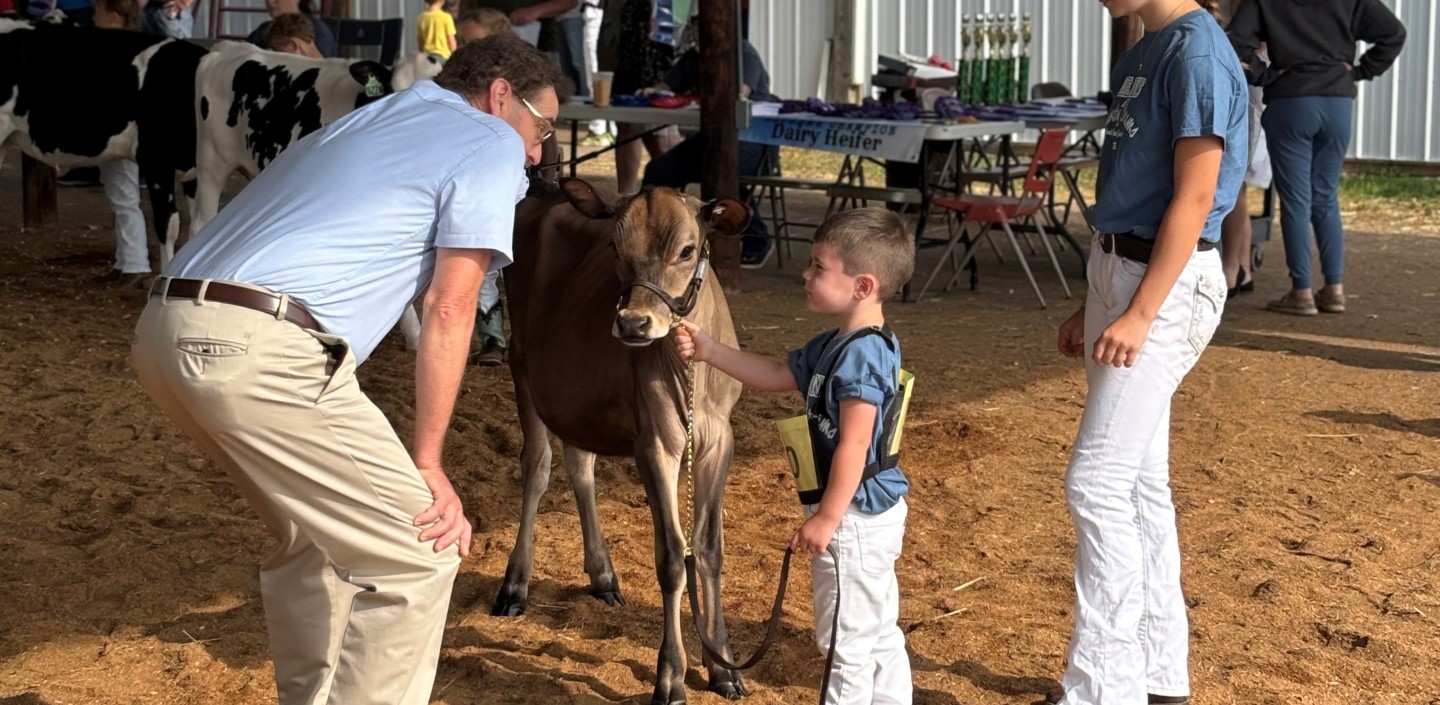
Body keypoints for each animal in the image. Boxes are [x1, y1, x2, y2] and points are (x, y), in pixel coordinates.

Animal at [494, 177, 753, 705]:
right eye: (615, 246)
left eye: (687, 250)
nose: (633, 323)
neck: (690, 373)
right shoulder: (654, 443)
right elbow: (673, 557)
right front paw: (671, 676)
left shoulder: (720, 441)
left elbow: (710, 549)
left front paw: (723, 665)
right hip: (522, 363)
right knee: (538, 467)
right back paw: (515, 584)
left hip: (575, 395)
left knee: (579, 463)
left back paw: (603, 575)